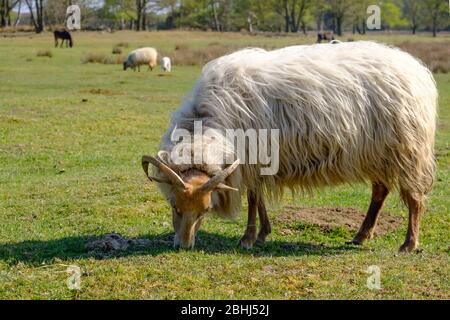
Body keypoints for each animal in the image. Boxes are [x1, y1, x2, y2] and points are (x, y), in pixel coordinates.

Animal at [142, 42, 436, 252]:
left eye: (205, 210)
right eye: (174, 206)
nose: (183, 246)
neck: (208, 122)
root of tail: (416, 69)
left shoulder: (253, 156)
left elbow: (252, 199)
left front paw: (248, 238)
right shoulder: (256, 161)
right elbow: (258, 197)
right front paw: (262, 233)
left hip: (408, 151)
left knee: (414, 199)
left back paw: (409, 244)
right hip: (377, 153)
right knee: (380, 191)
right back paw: (361, 235)